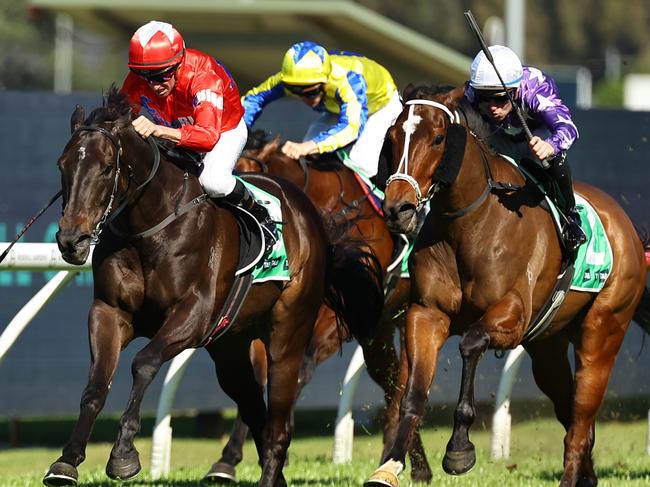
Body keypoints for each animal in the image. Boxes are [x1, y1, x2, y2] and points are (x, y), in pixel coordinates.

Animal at [41, 87, 380, 487]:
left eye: (107, 167)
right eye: (62, 165)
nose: (71, 240)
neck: (151, 226)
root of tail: (310, 213)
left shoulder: (195, 314)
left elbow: (144, 362)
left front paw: (123, 454)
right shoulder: (109, 312)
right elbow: (95, 386)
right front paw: (66, 461)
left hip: (289, 334)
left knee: (278, 424)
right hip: (230, 347)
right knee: (254, 410)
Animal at [204, 132, 436, 484]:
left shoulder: (329, 323)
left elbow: (295, 372)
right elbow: (257, 377)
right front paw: (228, 459)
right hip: (381, 327)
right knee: (393, 379)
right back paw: (401, 461)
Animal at [362, 84, 648, 487]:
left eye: (437, 139)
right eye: (391, 137)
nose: (397, 209)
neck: (469, 222)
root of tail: (626, 227)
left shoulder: (511, 315)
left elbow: (470, 343)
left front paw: (459, 449)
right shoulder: (427, 313)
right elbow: (413, 393)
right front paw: (389, 467)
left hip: (604, 327)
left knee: (581, 416)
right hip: (547, 346)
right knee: (570, 412)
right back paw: (586, 476)